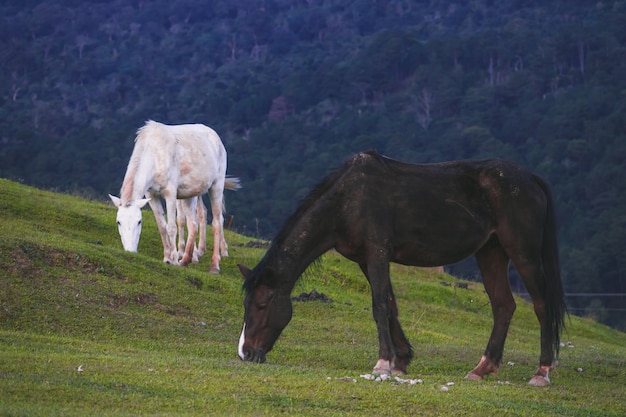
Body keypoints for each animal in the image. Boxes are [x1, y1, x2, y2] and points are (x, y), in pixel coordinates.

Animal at [108, 118, 240, 272]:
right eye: (118, 222)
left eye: (139, 221)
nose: (130, 251)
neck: (155, 155)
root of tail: (216, 137)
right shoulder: (151, 195)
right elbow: (162, 226)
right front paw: (167, 258)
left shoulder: (170, 194)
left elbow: (171, 227)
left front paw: (174, 260)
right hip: (190, 194)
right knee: (193, 223)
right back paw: (187, 259)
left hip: (216, 186)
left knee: (217, 222)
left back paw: (214, 265)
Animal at [235, 150, 564, 386]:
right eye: (246, 304)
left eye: (262, 304)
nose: (246, 353)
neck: (349, 199)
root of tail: (530, 178)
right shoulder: (366, 259)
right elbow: (390, 305)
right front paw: (401, 361)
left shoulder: (378, 254)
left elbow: (379, 305)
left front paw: (383, 364)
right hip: (491, 252)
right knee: (504, 306)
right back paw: (482, 368)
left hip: (522, 252)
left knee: (541, 305)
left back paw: (541, 372)